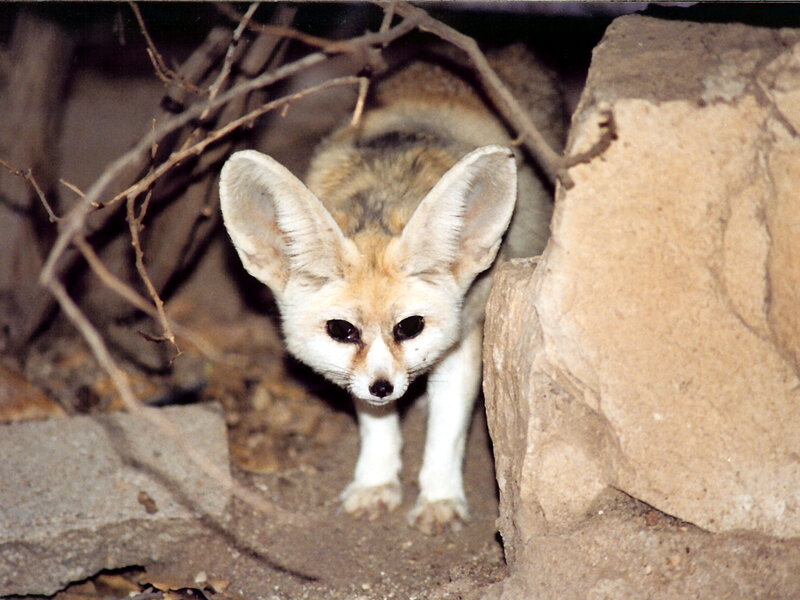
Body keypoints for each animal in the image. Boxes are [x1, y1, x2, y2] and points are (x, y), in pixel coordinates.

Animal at [219, 45, 564, 533]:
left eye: (410, 327)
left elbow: (446, 431)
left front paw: (440, 495)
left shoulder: (466, 334)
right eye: (342, 331)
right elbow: (374, 423)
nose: (384, 387)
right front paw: (376, 481)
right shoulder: (360, 376)